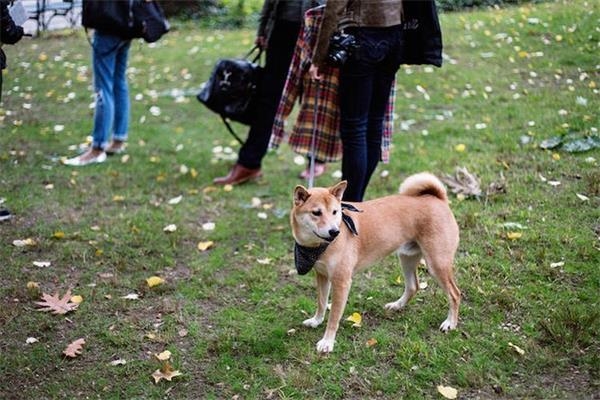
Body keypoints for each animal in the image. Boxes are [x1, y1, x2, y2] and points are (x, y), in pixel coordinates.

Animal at [292, 173, 462, 354]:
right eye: (316, 213)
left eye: (335, 212)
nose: (334, 232)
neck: (316, 247)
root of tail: (437, 198)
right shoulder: (322, 275)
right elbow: (322, 303)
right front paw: (316, 321)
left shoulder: (341, 282)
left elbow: (334, 318)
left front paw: (327, 342)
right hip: (406, 258)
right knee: (413, 286)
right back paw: (397, 305)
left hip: (437, 264)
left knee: (455, 294)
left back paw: (450, 323)